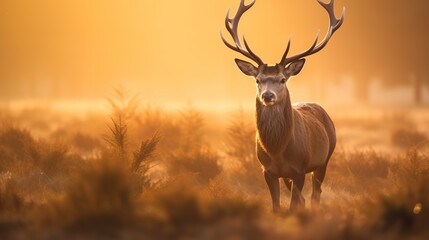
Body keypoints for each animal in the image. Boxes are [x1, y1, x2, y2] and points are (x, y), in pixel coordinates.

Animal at [221, 0, 344, 212]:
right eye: (258, 80)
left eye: (282, 79)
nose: (267, 95)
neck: (277, 151)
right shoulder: (267, 171)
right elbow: (277, 206)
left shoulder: (300, 169)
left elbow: (294, 204)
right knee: (306, 198)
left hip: (325, 158)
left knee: (315, 194)